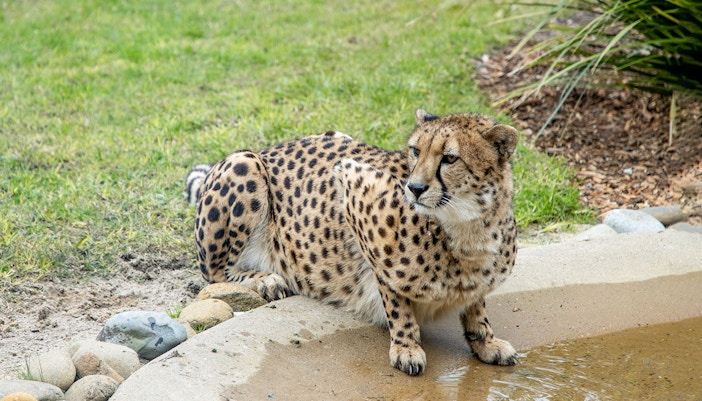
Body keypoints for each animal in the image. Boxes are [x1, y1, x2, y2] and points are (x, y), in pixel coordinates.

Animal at [185, 109, 519, 375]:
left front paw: (486, 342)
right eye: (415, 151)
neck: (467, 227)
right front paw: (406, 347)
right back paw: (265, 279)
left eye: (450, 158)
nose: (414, 188)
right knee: (215, 273)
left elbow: (476, 305)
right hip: (244, 161)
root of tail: (270, 149)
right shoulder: (353, 185)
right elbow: (394, 295)